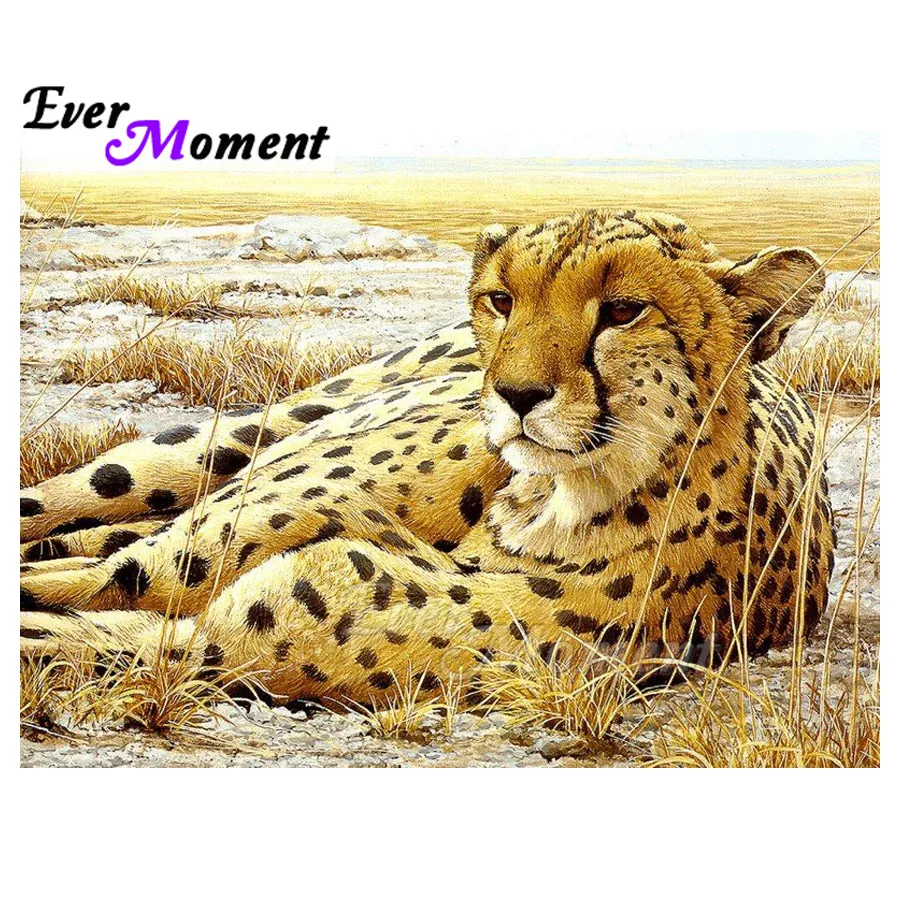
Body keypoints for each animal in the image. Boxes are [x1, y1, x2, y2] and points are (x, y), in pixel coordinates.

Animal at [20, 208, 836, 706]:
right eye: (502, 301)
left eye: (624, 311)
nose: (515, 394)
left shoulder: (223, 641)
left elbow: (92, 633)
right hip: (244, 445)